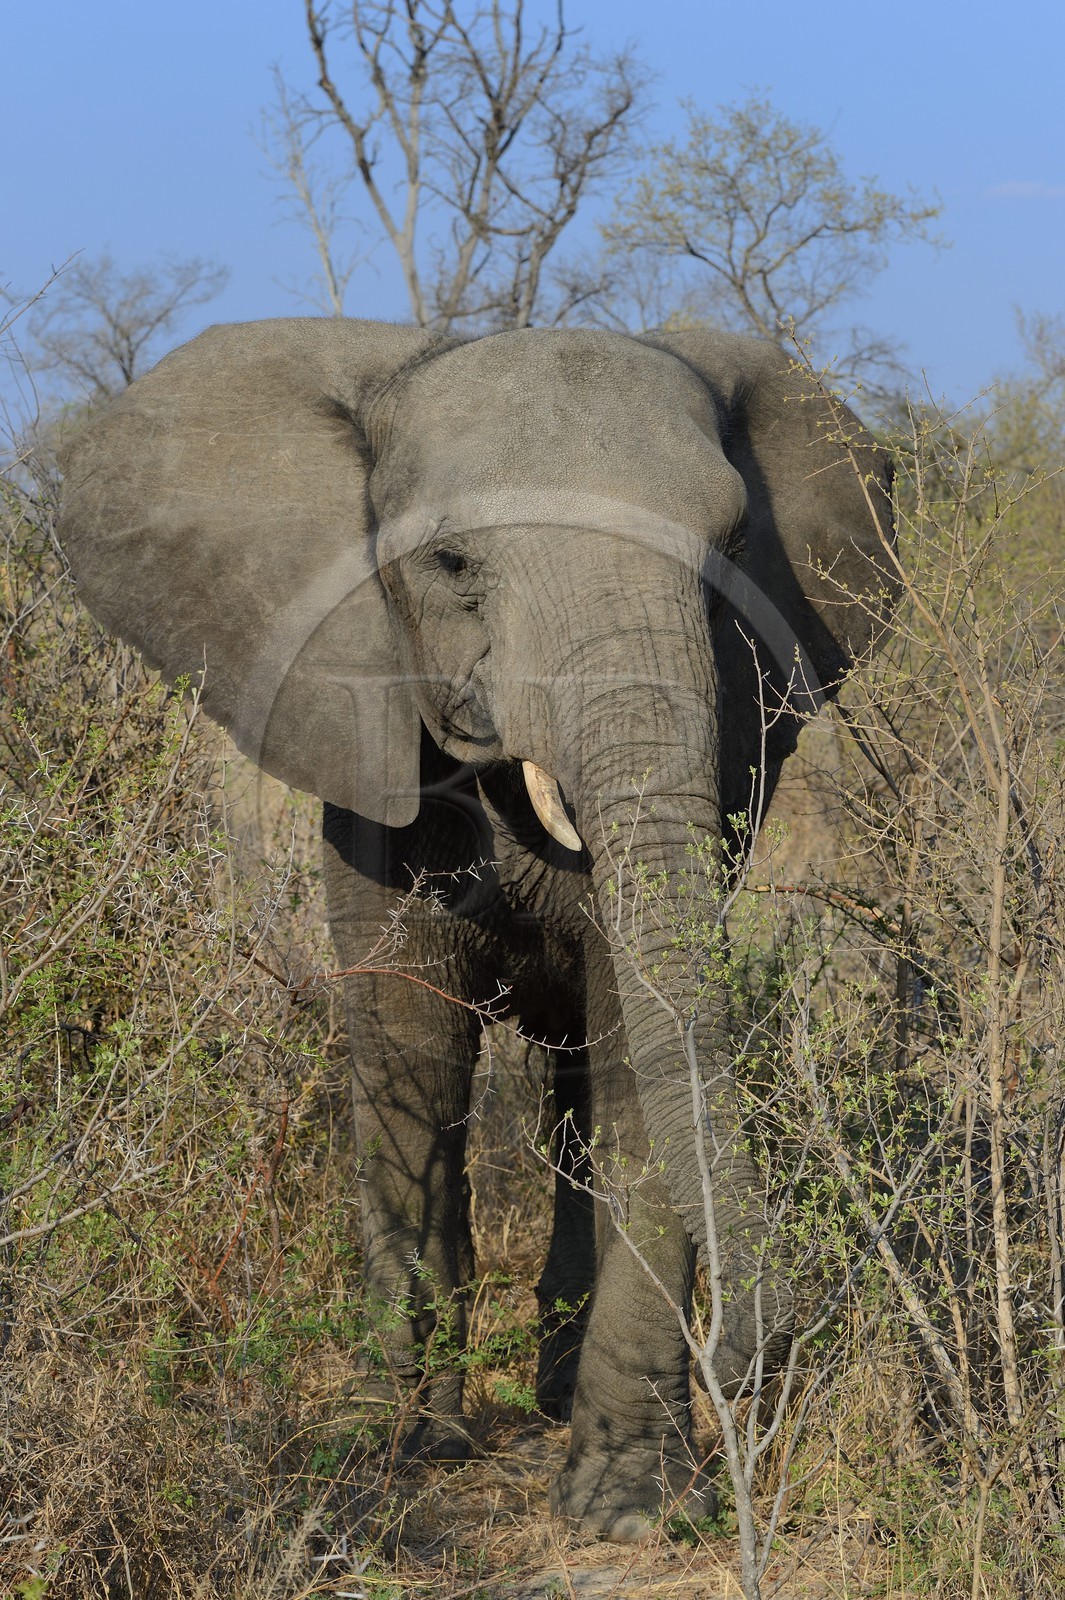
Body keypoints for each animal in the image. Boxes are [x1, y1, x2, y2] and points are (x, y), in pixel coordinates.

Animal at [58, 318, 896, 1541]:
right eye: (450, 566)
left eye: (736, 545)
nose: (755, 1356)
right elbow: (412, 1055)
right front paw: (399, 1451)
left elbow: (636, 1072)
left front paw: (629, 1512)